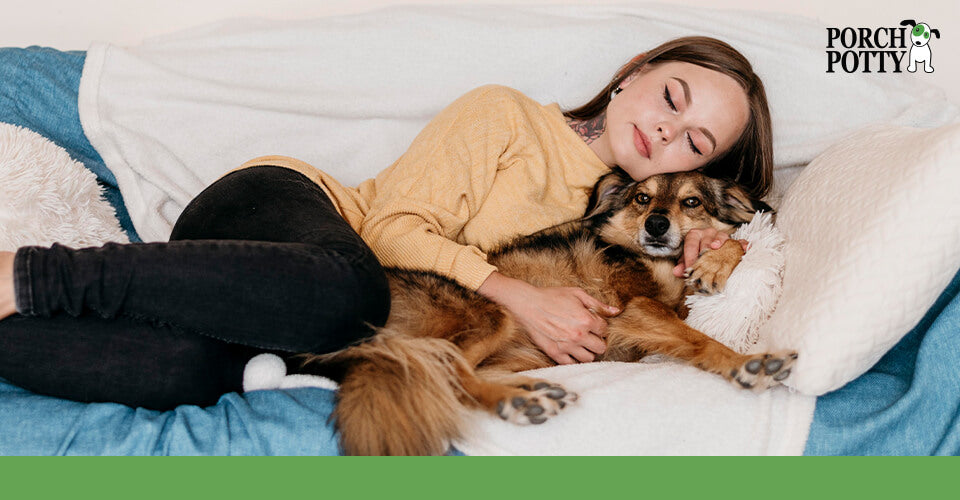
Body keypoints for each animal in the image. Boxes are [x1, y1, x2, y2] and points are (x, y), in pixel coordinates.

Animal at [298, 168, 796, 454]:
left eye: (691, 201)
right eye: (642, 198)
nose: (657, 225)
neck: (656, 262)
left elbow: (737, 242)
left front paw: (713, 263)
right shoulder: (636, 310)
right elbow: (699, 339)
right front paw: (749, 363)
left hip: (521, 351)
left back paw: (531, 391)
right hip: (491, 316)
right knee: (446, 374)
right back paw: (519, 402)